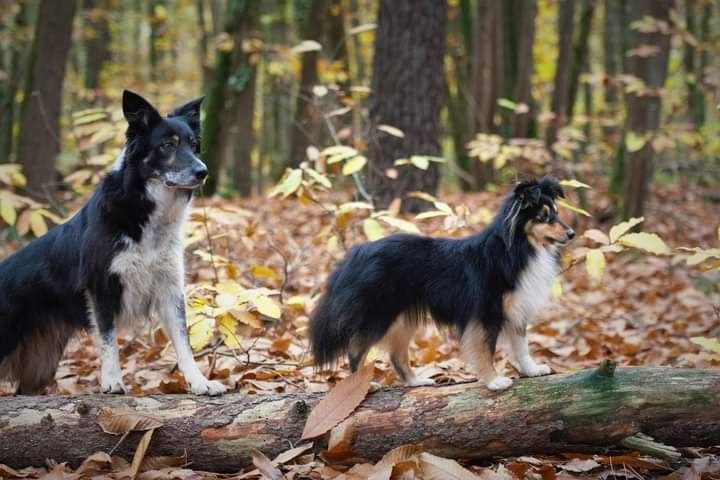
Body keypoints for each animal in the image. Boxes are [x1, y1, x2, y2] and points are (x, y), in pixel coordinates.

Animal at [0, 92, 225, 396]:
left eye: (193, 145)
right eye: (167, 145)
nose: (203, 172)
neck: (146, 213)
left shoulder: (169, 289)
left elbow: (184, 342)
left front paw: (200, 382)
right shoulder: (102, 287)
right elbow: (108, 341)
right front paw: (112, 381)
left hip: (40, 367)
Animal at [310, 176, 572, 390]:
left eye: (557, 213)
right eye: (544, 217)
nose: (572, 234)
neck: (516, 249)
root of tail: (356, 253)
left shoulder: (517, 309)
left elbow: (521, 346)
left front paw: (532, 370)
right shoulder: (487, 313)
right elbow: (485, 350)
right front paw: (494, 381)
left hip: (403, 318)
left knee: (396, 354)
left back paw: (416, 381)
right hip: (379, 314)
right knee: (356, 348)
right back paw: (363, 385)